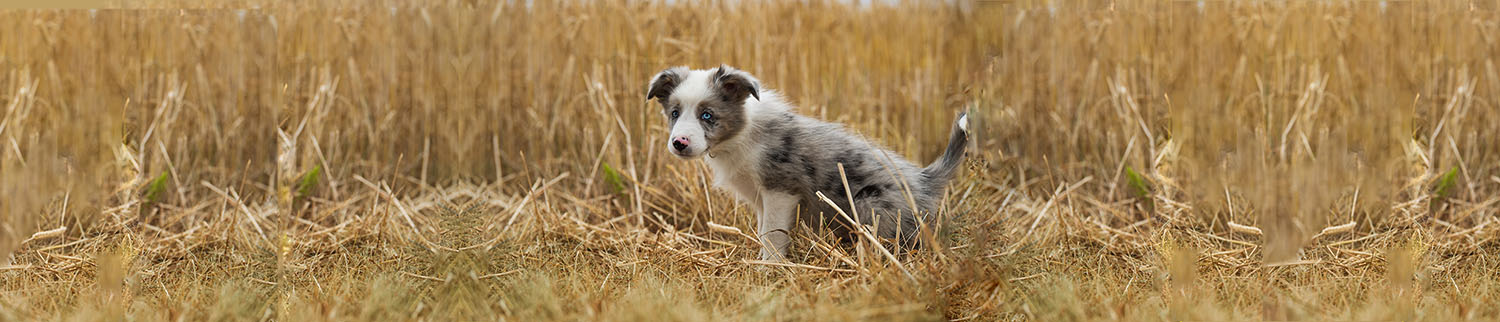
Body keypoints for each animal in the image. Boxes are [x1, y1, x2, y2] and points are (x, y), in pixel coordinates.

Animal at [648, 65, 972, 262]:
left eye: (707, 115)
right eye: (674, 113)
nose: (679, 143)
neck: (741, 133)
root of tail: (924, 178)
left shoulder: (780, 190)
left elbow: (772, 235)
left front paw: (770, 268)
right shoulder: (761, 199)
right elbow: (764, 231)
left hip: (871, 206)